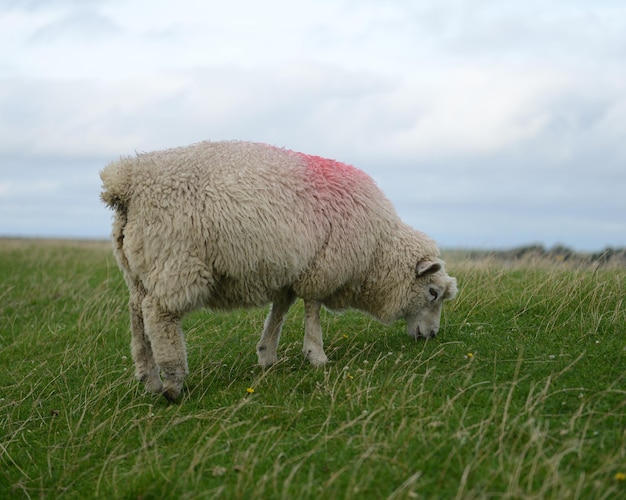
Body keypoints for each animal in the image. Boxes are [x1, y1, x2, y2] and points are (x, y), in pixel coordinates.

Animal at [100, 141, 456, 402]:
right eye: (432, 292)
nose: (432, 336)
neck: (378, 250)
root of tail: (128, 182)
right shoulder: (321, 267)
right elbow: (312, 310)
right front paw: (316, 355)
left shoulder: (291, 273)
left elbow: (280, 311)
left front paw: (267, 355)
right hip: (175, 262)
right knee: (158, 317)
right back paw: (173, 382)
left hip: (139, 270)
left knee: (136, 315)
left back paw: (149, 379)